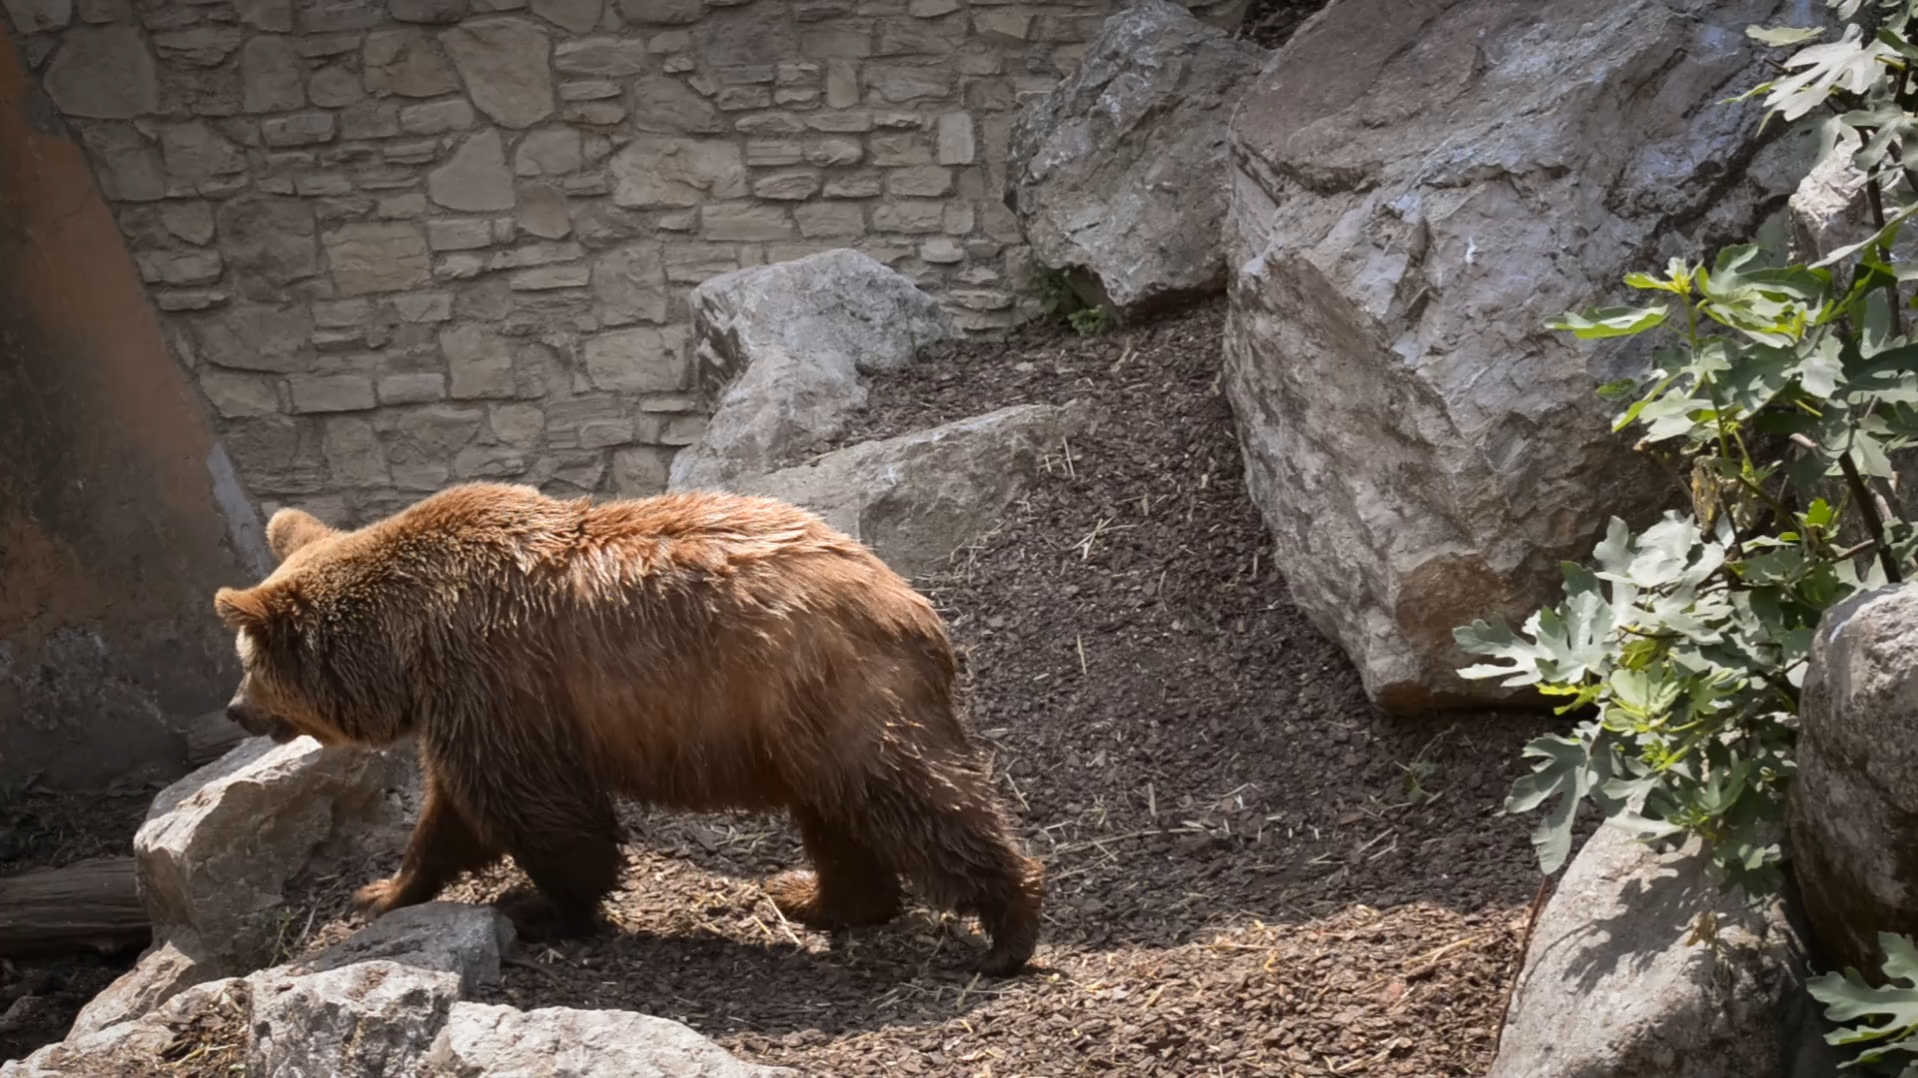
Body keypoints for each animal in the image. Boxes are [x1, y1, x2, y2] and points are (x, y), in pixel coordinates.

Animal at [215, 482, 1045, 976]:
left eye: (248, 664)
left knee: (912, 795)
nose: (233, 709)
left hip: (825, 692)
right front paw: (384, 891)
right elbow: (450, 817)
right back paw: (814, 895)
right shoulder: (474, 708)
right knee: (840, 819)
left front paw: (543, 907)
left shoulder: (499, 685)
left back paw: (1009, 928)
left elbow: (536, 815)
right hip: (802, 729)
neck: (411, 644)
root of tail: (909, 601)